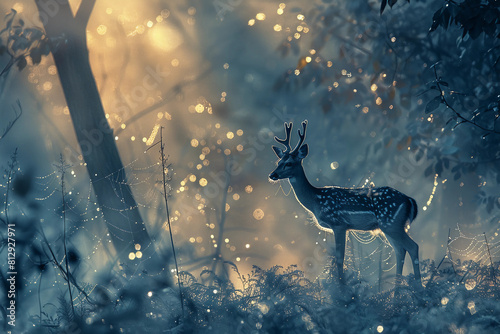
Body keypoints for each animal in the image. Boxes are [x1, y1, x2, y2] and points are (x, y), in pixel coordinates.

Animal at [270, 120, 422, 284]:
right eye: (279, 161)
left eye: (289, 163)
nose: (272, 175)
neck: (315, 201)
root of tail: (409, 200)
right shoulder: (341, 227)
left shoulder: (339, 223)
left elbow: (339, 260)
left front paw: (342, 288)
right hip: (389, 227)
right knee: (400, 251)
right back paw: (397, 288)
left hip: (391, 223)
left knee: (413, 247)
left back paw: (419, 287)